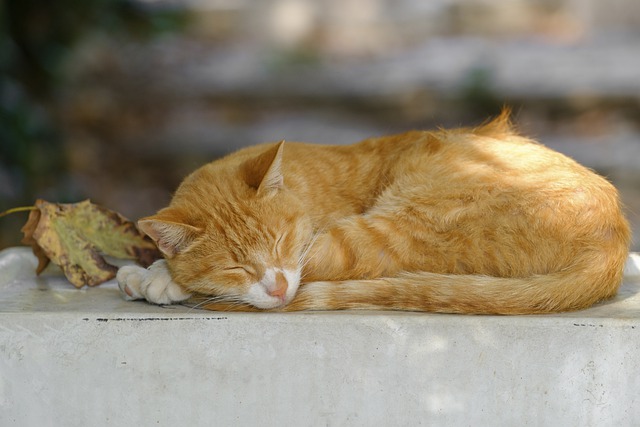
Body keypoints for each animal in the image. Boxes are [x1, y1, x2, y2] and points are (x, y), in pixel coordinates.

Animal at [115, 111, 632, 314]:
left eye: (280, 242)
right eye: (233, 266)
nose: (278, 288)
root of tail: (614, 237)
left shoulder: (306, 254)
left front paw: (158, 276)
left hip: (383, 230)